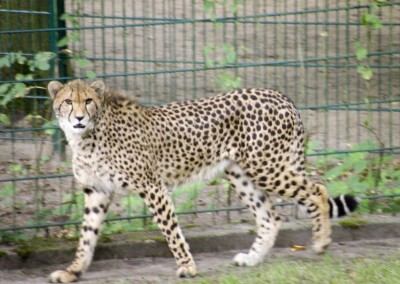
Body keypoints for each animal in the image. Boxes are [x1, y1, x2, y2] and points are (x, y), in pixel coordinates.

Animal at [46, 79, 356, 282]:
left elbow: (171, 230)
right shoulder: (96, 191)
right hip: (240, 173)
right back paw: (252, 258)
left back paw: (321, 242)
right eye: (67, 102)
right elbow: (87, 236)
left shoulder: (152, 186)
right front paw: (73, 271)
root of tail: (280, 95)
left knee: (317, 190)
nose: (78, 118)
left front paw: (188, 267)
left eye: (88, 100)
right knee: (270, 217)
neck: (88, 136)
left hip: (267, 167)